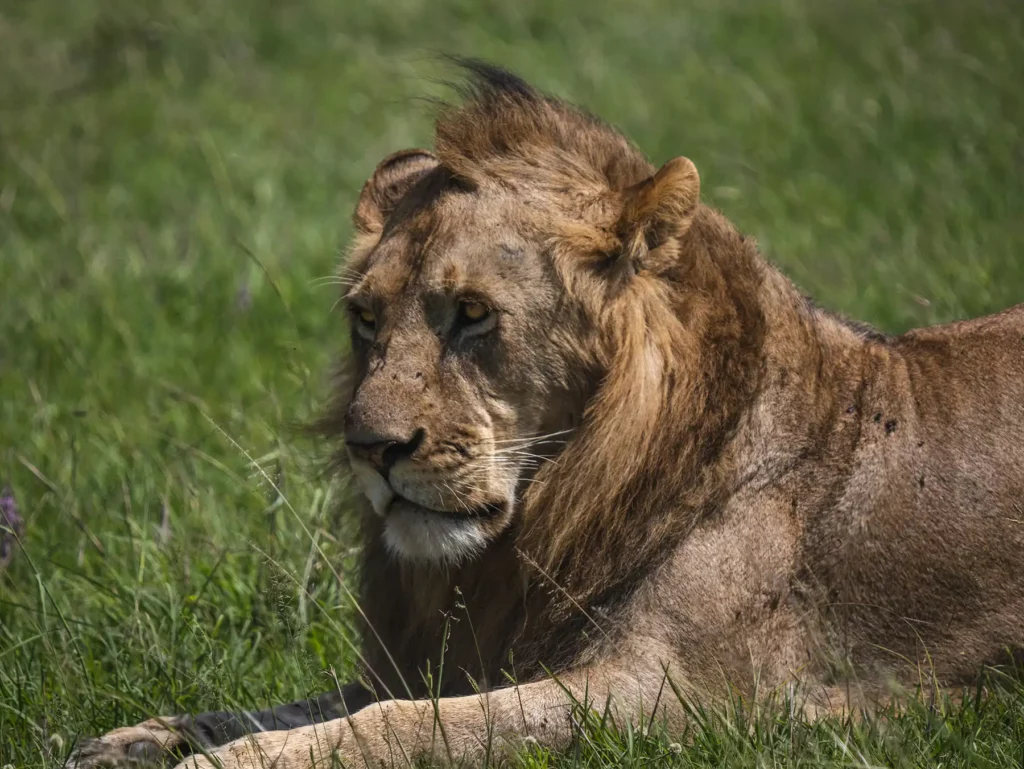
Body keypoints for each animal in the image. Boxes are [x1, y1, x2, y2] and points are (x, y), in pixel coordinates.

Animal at [68, 59, 1024, 769]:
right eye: (367, 318)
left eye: (473, 314)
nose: (370, 447)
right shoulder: (454, 654)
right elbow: (290, 704)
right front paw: (138, 738)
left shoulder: (676, 698)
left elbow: (414, 724)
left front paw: (228, 762)